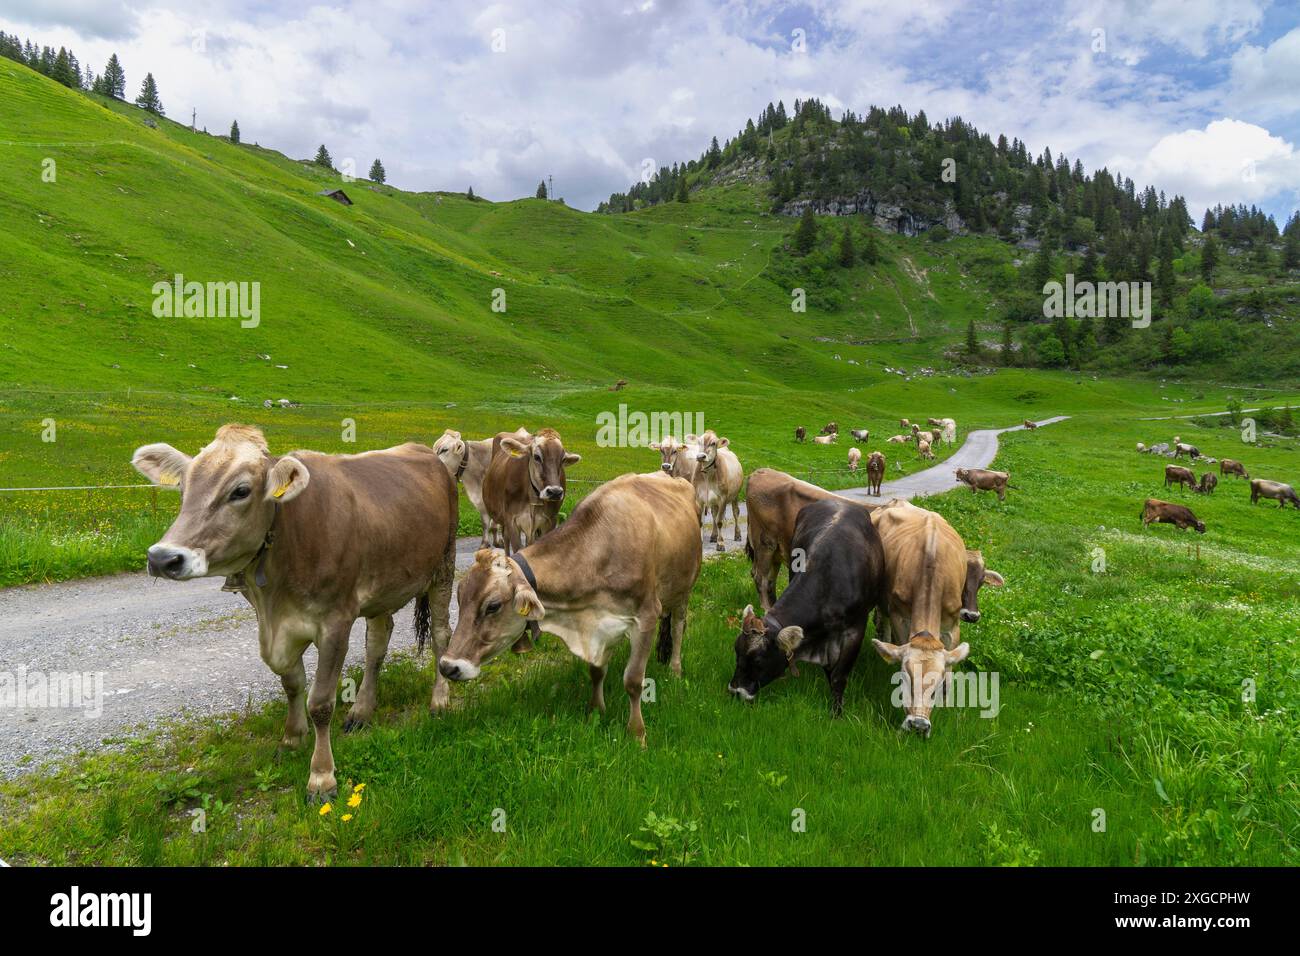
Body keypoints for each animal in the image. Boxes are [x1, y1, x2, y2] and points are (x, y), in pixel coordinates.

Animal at [132, 424, 458, 799]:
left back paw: (439, 701)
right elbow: (291, 683)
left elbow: (321, 702)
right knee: (378, 642)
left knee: (441, 635)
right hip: (383, 585)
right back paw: (362, 711)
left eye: (240, 491)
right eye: (184, 488)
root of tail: (426, 452)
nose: (162, 558)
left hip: (443, 565)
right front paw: (291, 738)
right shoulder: (274, 627)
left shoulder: (335, 621)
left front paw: (322, 776)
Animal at [439, 472, 701, 745]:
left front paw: (637, 734)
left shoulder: (646, 616)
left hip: (684, 589)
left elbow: (633, 681)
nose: (447, 666)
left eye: (492, 606)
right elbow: (596, 671)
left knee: (678, 627)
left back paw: (675, 669)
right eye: (459, 599)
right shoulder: (599, 625)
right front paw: (596, 710)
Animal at [728, 499, 887, 716]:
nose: (736, 691)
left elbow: (838, 676)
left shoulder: (854, 631)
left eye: (758, 660)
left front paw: (837, 713)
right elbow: (830, 673)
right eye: (737, 652)